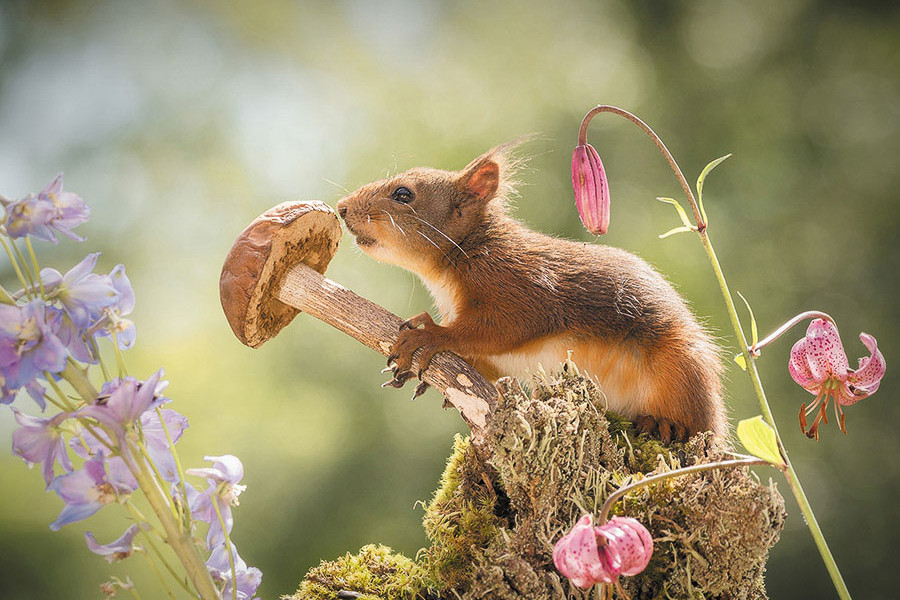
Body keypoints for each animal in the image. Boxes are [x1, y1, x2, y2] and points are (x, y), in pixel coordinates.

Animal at [335, 142, 726, 442]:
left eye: (403, 194)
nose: (341, 207)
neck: (465, 253)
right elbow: (488, 364)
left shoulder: (522, 286)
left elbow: (503, 328)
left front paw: (430, 334)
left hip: (683, 368)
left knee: (696, 419)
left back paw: (665, 424)